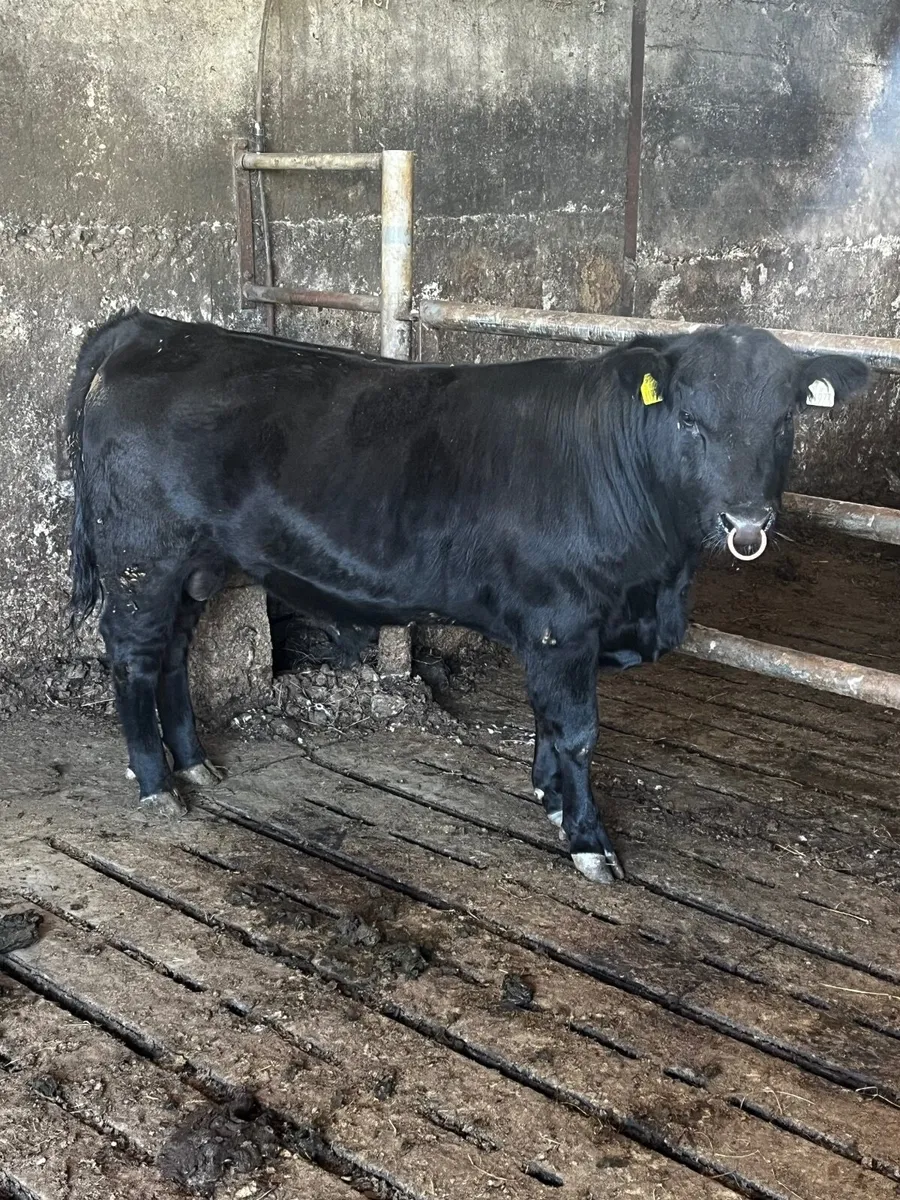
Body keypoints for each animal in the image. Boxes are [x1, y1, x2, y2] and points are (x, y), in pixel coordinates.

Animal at [64, 311, 870, 883]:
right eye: (689, 418)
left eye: (786, 418)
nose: (746, 520)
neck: (659, 584)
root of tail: (158, 328)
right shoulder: (561, 622)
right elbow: (575, 730)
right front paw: (589, 840)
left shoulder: (558, 630)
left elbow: (546, 723)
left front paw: (550, 800)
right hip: (143, 556)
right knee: (134, 657)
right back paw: (156, 783)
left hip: (196, 564)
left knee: (174, 654)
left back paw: (195, 763)